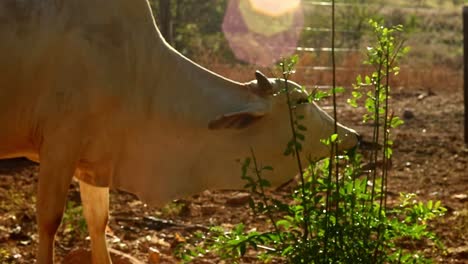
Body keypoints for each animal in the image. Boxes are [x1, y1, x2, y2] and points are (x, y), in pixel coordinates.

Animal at [0, 0, 360, 264]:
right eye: (300, 100)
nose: (352, 135)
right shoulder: (60, 142)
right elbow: (49, 221)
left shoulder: (92, 157)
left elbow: (98, 221)